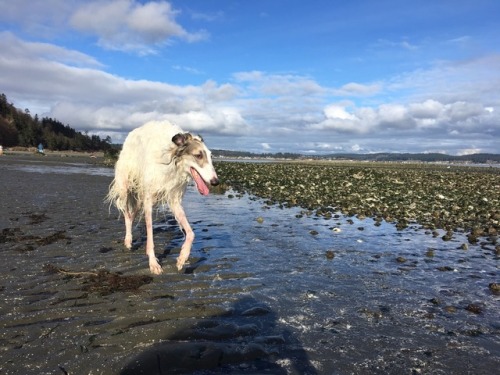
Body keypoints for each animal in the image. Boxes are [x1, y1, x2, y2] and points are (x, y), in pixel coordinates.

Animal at [107, 122, 219, 274]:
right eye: (198, 155)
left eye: (211, 156)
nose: (216, 181)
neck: (171, 159)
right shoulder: (148, 198)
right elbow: (150, 235)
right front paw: (153, 263)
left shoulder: (174, 199)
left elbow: (191, 234)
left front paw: (182, 257)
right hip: (126, 186)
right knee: (126, 214)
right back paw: (128, 239)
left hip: (140, 197)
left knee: (131, 215)